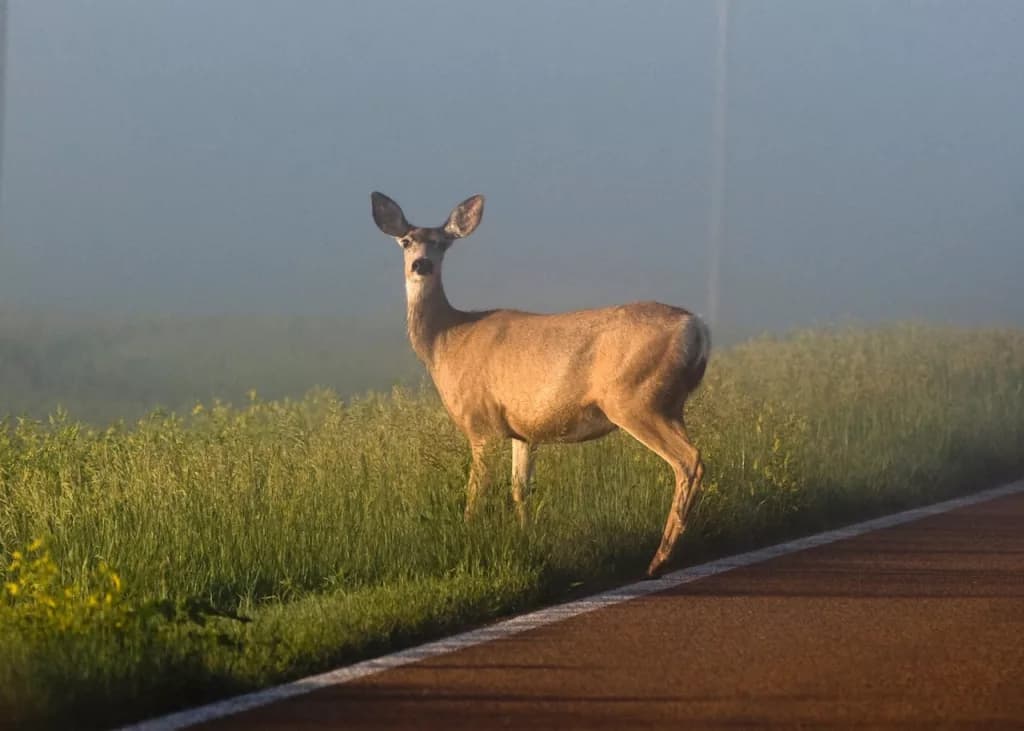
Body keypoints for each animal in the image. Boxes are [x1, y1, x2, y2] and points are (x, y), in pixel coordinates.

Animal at [370, 192, 710, 578]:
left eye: (443, 243)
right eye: (406, 241)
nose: (422, 264)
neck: (446, 340)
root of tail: (697, 327)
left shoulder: (480, 423)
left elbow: (476, 490)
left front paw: (468, 534)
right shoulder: (522, 430)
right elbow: (520, 488)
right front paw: (527, 540)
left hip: (635, 399)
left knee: (689, 460)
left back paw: (658, 559)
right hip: (670, 403)